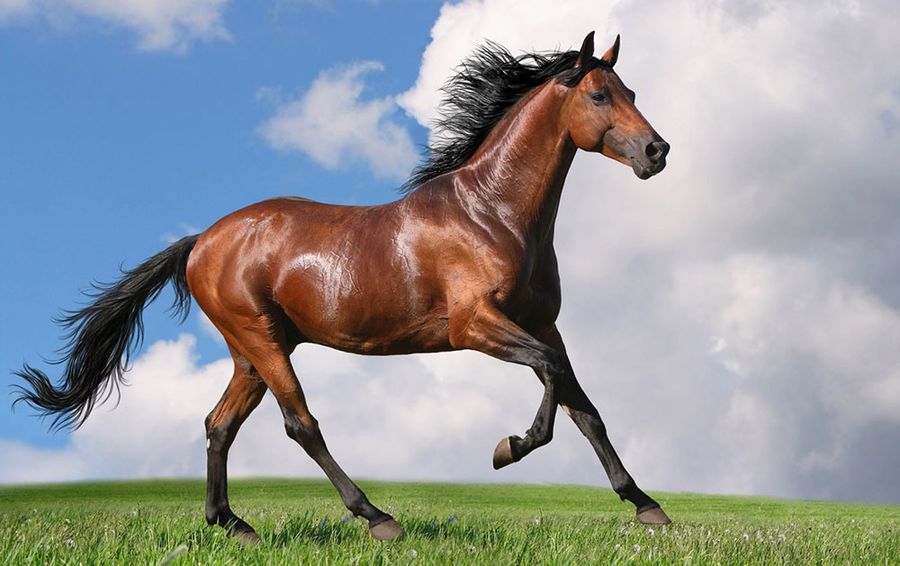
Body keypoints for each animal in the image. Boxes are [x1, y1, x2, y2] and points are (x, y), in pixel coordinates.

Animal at [14, 32, 671, 543]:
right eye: (599, 94)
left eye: (632, 93)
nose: (657, 150)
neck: (492, 213)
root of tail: (202, 240)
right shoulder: (475, 325)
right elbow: (553, 382)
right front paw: (508, 447)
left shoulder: (543, 324)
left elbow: (584, 407)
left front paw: (646, 506)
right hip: (261, 340)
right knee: (300, 423)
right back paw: (377, 517)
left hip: (251, 351)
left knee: (219, 424)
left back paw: (234, 525)